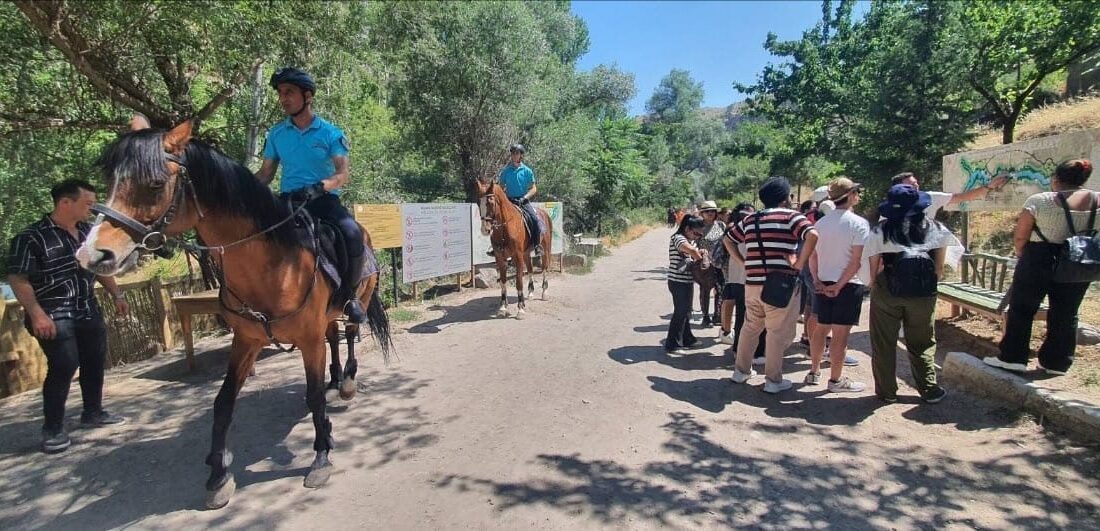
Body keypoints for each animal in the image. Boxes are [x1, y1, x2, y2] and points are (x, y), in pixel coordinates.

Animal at [74, 117, 391, 512]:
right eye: (112, 180)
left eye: (155, 184)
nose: (92, 255)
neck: (274, 264)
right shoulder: (247, 340)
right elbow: (223, 403)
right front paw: (218, 476)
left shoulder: (307, 339)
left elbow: (314, 396)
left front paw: (320, 457)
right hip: (321, 323)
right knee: (333, 337)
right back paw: (335, 379)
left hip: (356, 301)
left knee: (348, 333)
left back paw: (346, 381)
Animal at [477, 179, 554, 321]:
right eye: (478, 203)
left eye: (490, 202)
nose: (485, 229)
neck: (505, 228)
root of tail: (544, 213)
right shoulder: (500, 258)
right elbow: (503, 282)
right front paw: (503, 308)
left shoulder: (517, 257)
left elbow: (518, 282)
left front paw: (520, 309)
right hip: (526, 253)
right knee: (530, 270)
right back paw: (530, 293)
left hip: (545, 249)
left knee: (544, 268)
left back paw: (544, 293)